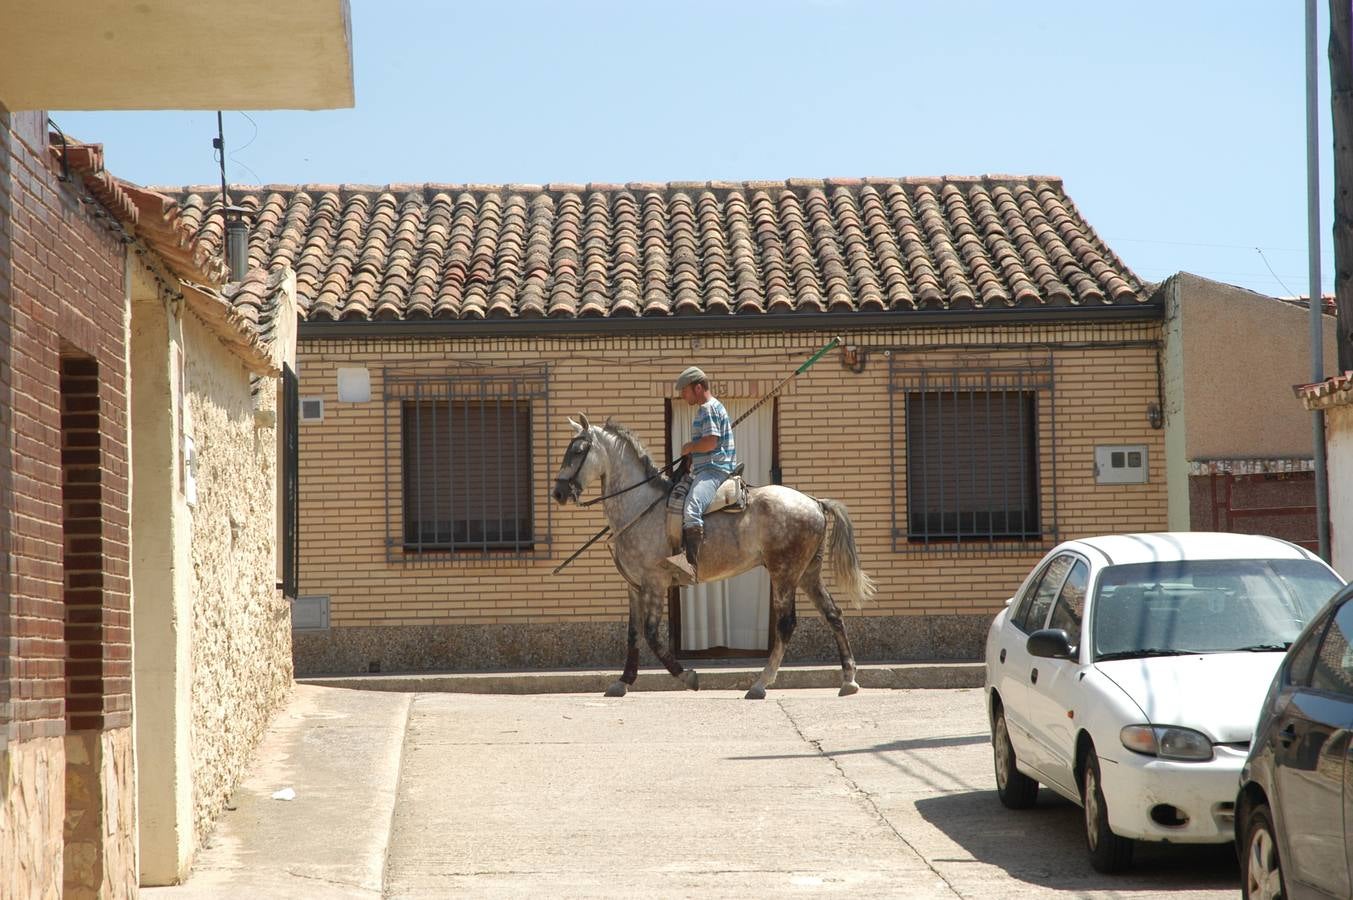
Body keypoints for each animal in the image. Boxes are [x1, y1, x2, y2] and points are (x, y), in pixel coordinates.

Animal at [552, 411, 876, 698]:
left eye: (578, 450)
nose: (558, 493)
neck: (640, 506)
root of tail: (814, 502)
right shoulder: (635, 587)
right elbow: (633, 634)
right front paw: (623, 681)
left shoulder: (655, 582)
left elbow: (652, 634)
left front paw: (687, 676)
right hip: (807, 572)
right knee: (833, 614)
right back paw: (848, 679)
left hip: (784, 573)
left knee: (786, 625)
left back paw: (760, 684)